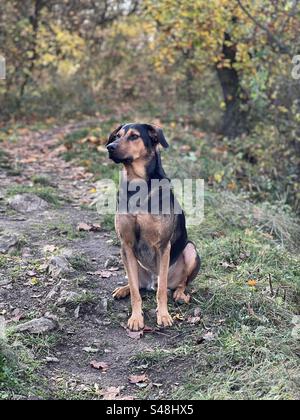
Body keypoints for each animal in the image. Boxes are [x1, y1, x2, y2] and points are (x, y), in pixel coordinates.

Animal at [106, 123, 200, 330]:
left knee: (178, 283)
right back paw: (123, 289)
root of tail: (150, 282)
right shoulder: (126, 245)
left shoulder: (163, 246)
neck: (137, 184)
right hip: (130, 261)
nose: (109, 147)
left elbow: (162, 290)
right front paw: (135, 318)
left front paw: (163, 316)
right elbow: (135, 292)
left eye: (134, 136)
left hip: (191, 250)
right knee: (137, 284)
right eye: (117, 136)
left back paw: (180, 294)